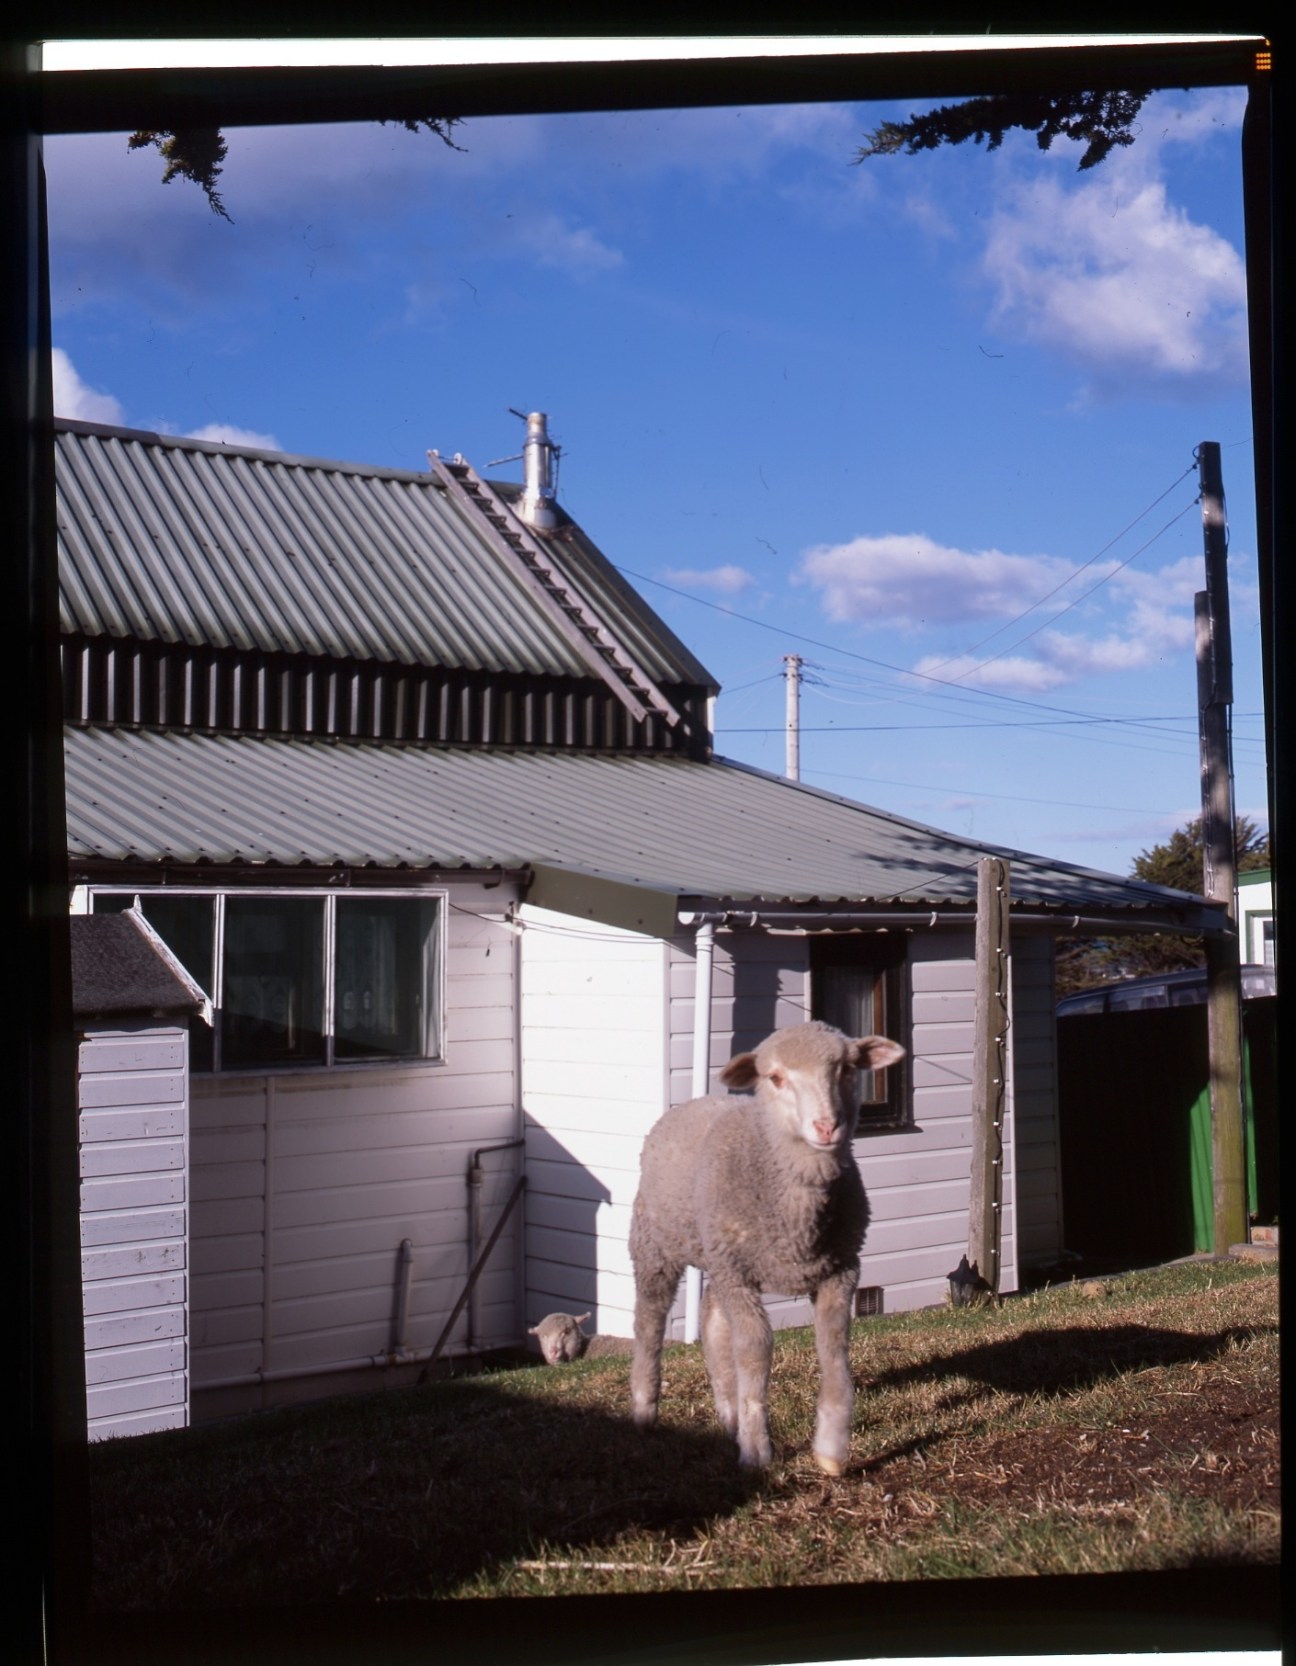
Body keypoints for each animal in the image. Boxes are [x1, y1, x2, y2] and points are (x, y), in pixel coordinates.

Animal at [629, 1020, 905, 1475]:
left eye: (848, 1070)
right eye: (775, 1077)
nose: (827, 1127)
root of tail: (692, 1102)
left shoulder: (841, 1269)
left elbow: (834, 1347)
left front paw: (830, 1450)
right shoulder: (739, 1274)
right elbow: (755, 1350)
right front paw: (757, 1450)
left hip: (717, 1254)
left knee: (713, 1320)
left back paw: (729, 1415)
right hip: (656, 1245)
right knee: (648, 1323)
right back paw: (644, 1411)